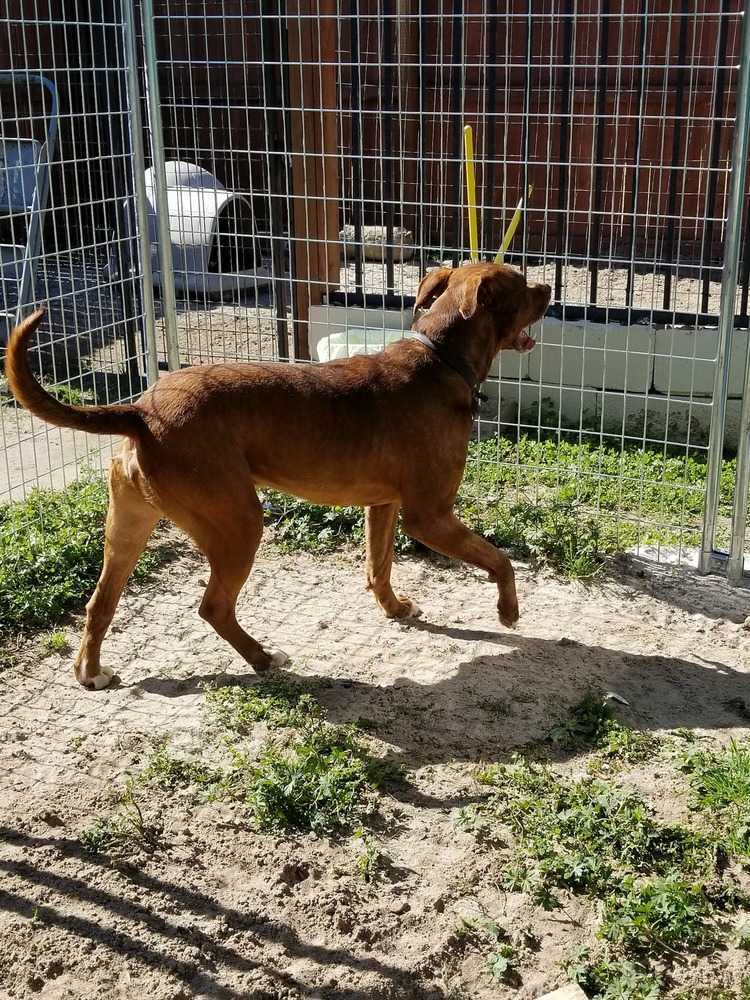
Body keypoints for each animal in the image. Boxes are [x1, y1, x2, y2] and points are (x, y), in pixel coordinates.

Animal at [5, 262, 552, 692]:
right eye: (522, 285)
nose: (549, 287)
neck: (440, 357)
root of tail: (140, 412)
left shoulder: (384, 506)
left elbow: (379, 568)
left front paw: (395, 610)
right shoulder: (429, 516)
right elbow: (500, 559)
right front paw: (508, 611)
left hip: (128, 528)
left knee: (99, 603)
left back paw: (90, 672)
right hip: (238, 523)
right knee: (213, 607)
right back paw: (263, 658)